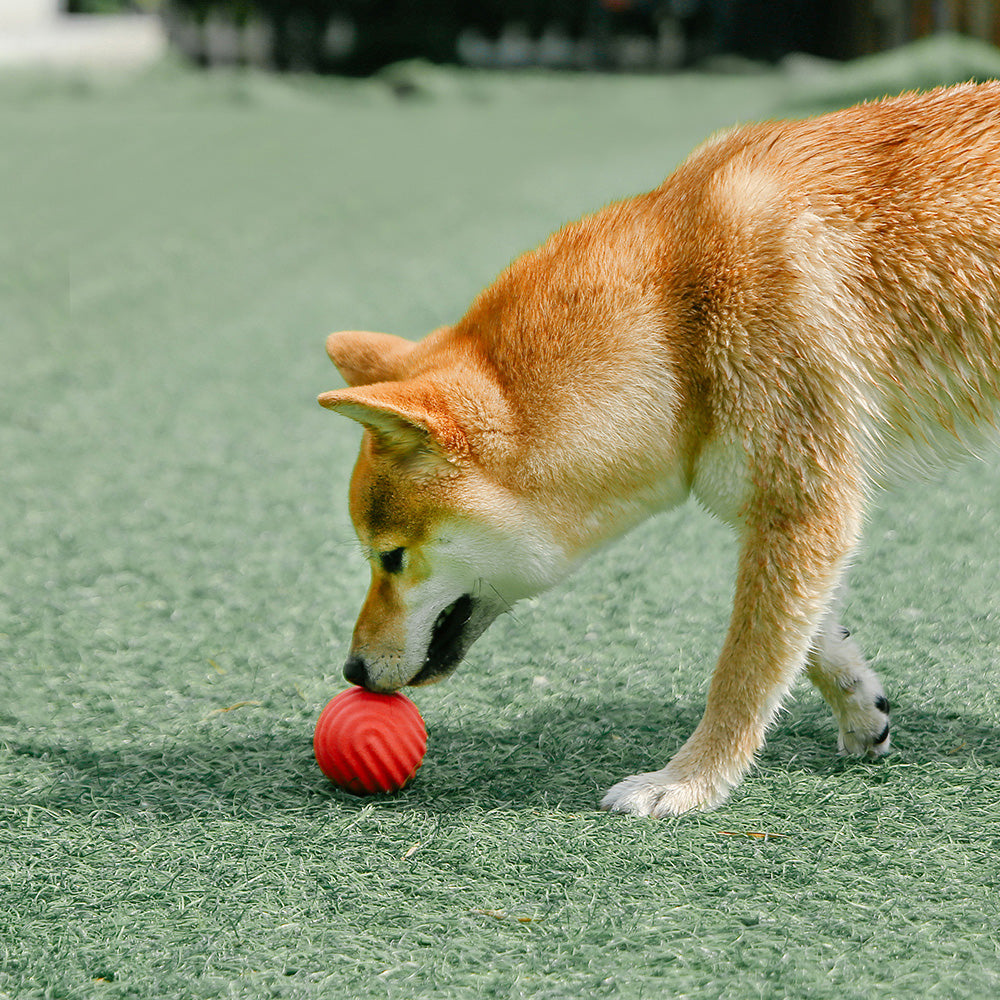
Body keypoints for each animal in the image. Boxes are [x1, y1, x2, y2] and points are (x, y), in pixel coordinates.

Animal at [318, 82, 1000, 816]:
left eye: (390, 558)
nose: (351, 669)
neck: (677, 321)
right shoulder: (785, 507)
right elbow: (804, 638)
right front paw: (858, 705)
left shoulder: (802, 502)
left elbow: (741, 672)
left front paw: (687, 781)